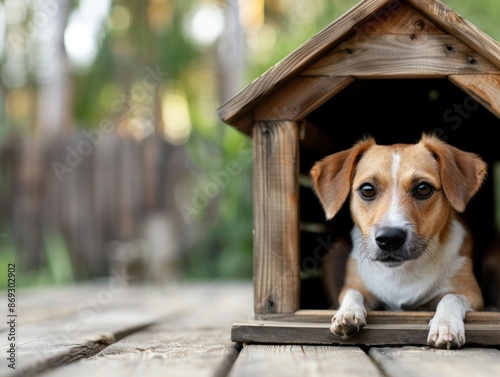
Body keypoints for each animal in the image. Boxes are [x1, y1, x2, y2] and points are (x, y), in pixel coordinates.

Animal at [310, 134, 486, 348]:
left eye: (423, 188)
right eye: (367, 189)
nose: (389, 238)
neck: (402, 272)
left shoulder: (473, 294)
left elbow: (451, 297)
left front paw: (446, 324)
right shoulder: (355, 285)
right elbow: (352, 291)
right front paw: (348, 312)